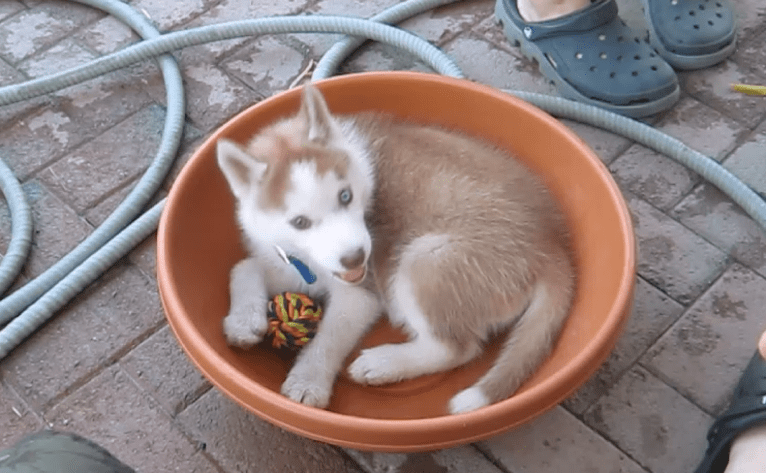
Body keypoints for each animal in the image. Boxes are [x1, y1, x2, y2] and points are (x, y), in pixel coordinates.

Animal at [216, 84, 576, 412]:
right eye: (300, 222)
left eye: (345, 196)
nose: (356, 258)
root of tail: (551, 244)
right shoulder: (293, 263)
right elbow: (244, 266)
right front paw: (243, 321)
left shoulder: (361, 294)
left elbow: (330, 338)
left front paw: (308, 381)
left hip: (425, 260)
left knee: (456, 348)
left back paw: (383, 363)